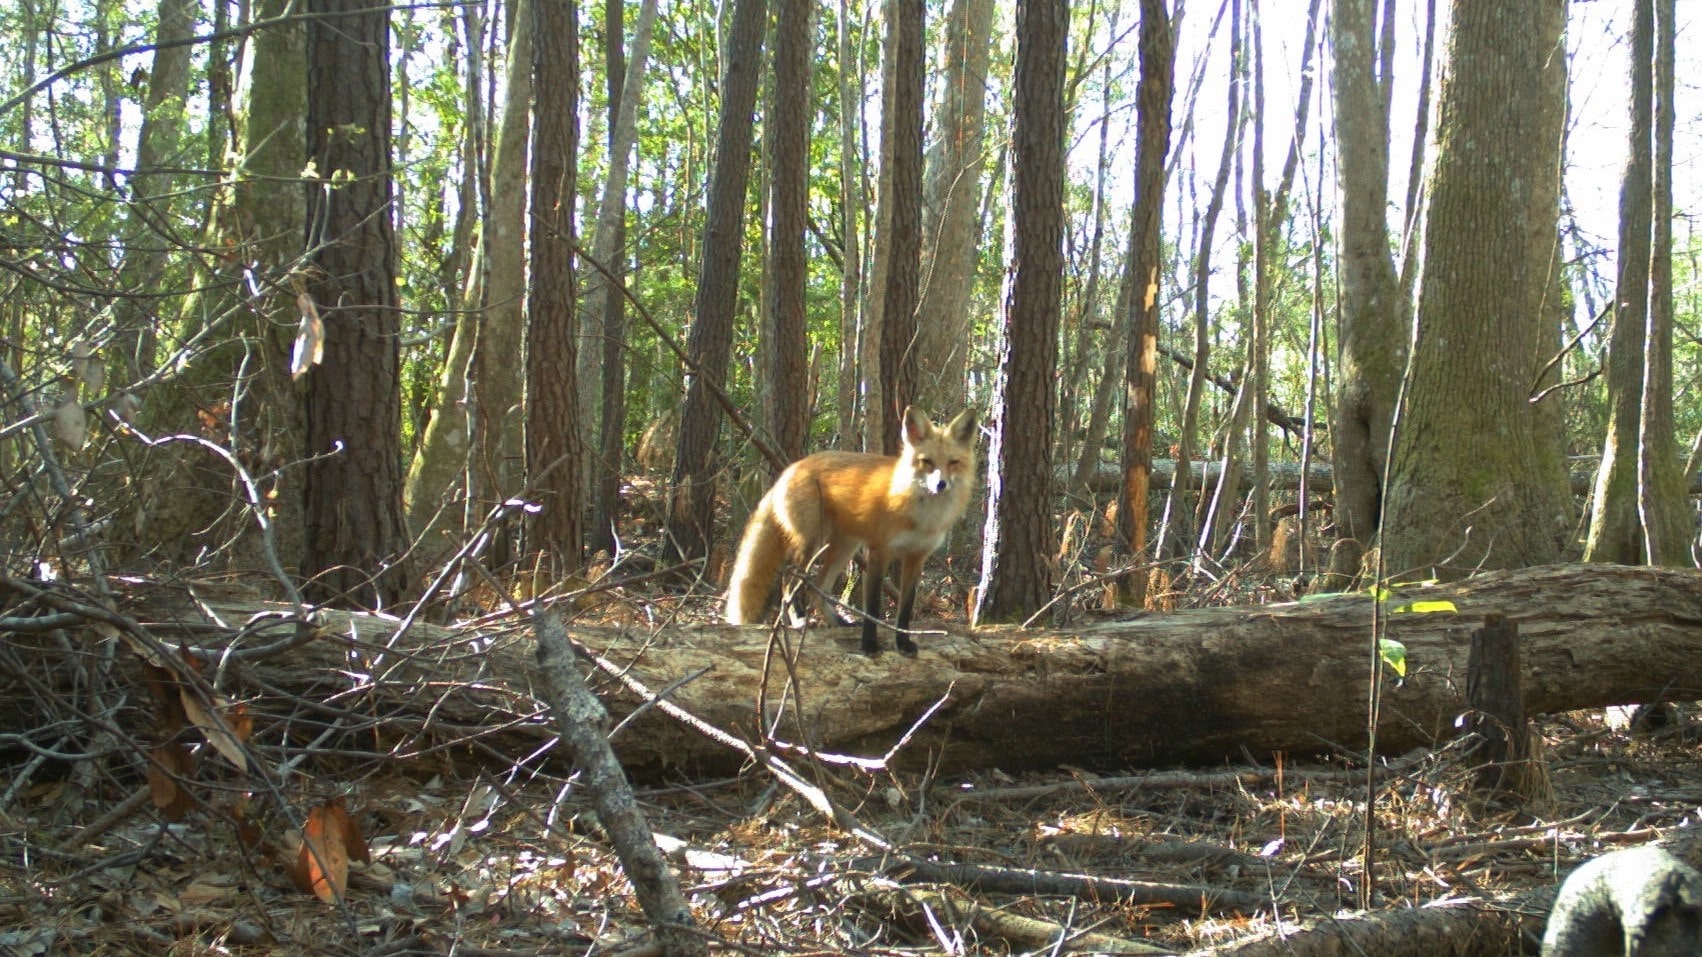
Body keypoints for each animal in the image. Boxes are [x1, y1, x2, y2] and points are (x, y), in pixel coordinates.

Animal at [725, 401, 980, 653]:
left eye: (953, 463)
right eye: (927, 462)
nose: (940, 484)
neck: (922, 517)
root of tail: (791, 468)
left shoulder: (916, 557)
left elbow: (905, 609)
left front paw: (903, 642)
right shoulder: (878, 552)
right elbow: (873, 607)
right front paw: (869, 644)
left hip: (843, 548)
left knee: (818, 588)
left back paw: (836, 623)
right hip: (812, 544)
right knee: (789, 584)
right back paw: (800, 621)